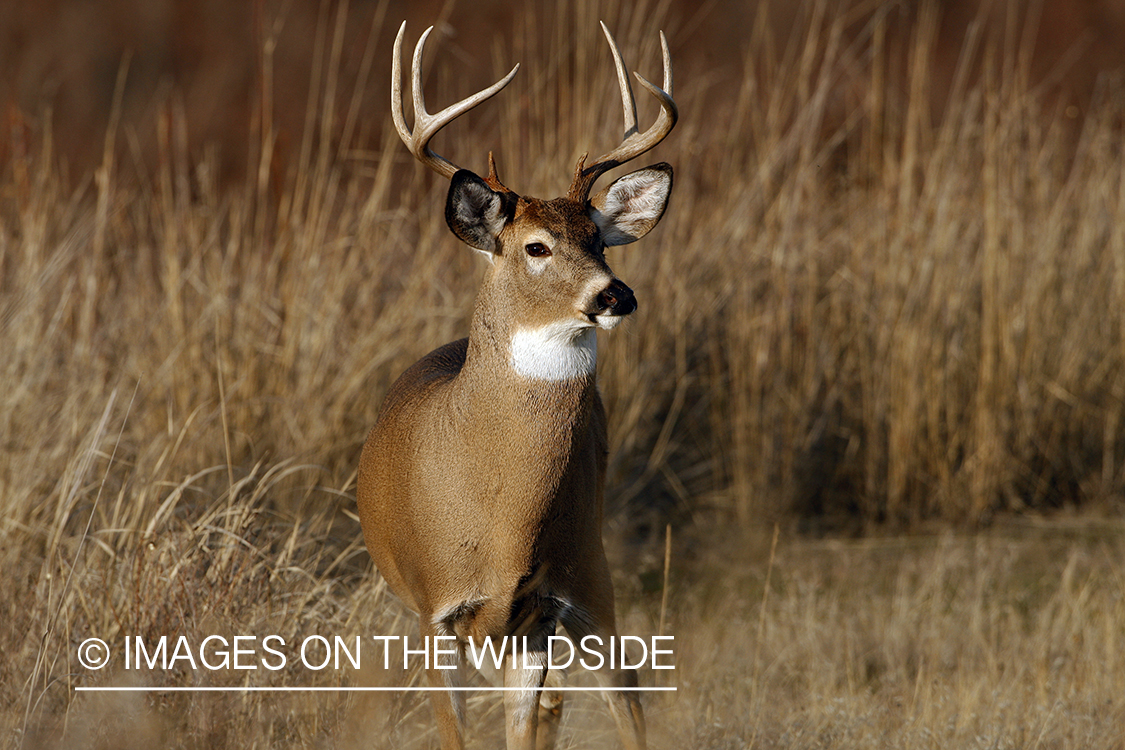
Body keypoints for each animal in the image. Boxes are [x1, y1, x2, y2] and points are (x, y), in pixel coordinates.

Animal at [357, 20, 675, 746]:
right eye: (535, 246)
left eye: (599, 240)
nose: (615, 294)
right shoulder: (435, 610)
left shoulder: (538, 611)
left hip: (588, 561)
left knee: (625, 688)